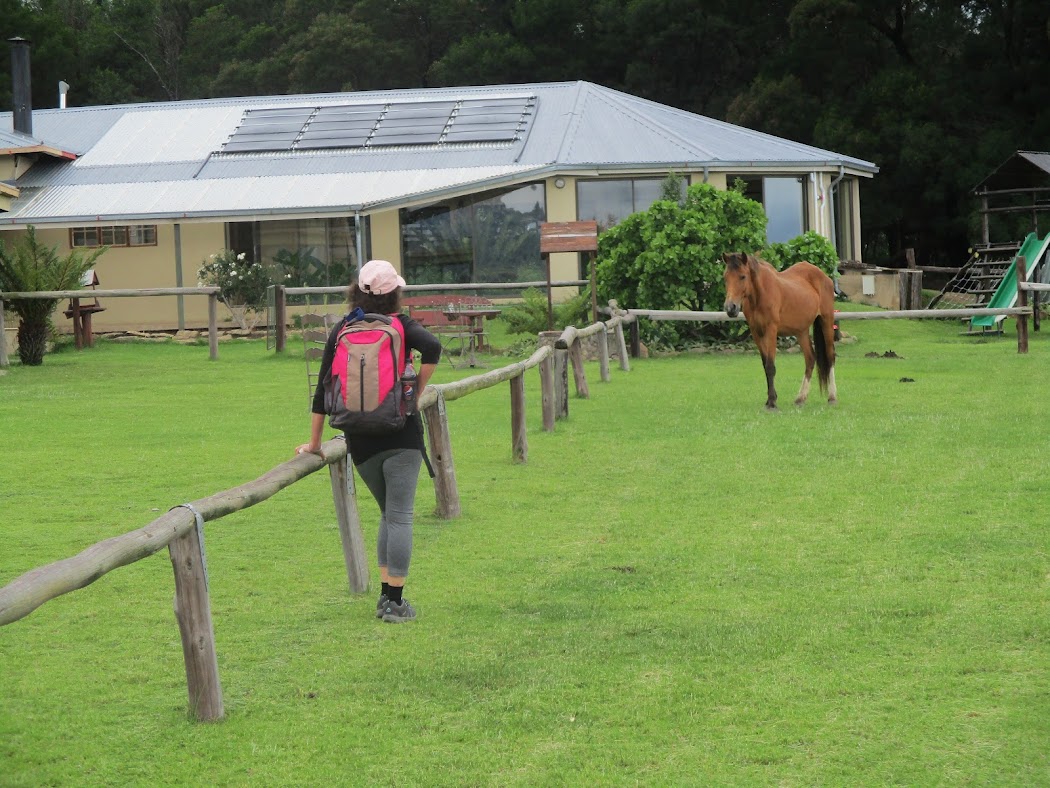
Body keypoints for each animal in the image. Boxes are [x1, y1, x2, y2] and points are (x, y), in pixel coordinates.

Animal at [722, 251, 838, 411]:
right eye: (725, 277)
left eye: (742, 276)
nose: (730, 308)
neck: (760, 294)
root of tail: (824, 276)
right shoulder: (756, 332)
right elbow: (765, 365)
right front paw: (770, 399)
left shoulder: (771, 330)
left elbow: (770, 366)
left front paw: (772, 402)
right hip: (801, 331)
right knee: (810, 359)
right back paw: (800, 398)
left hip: (826, 321)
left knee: (830, 356)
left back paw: (832, 397)